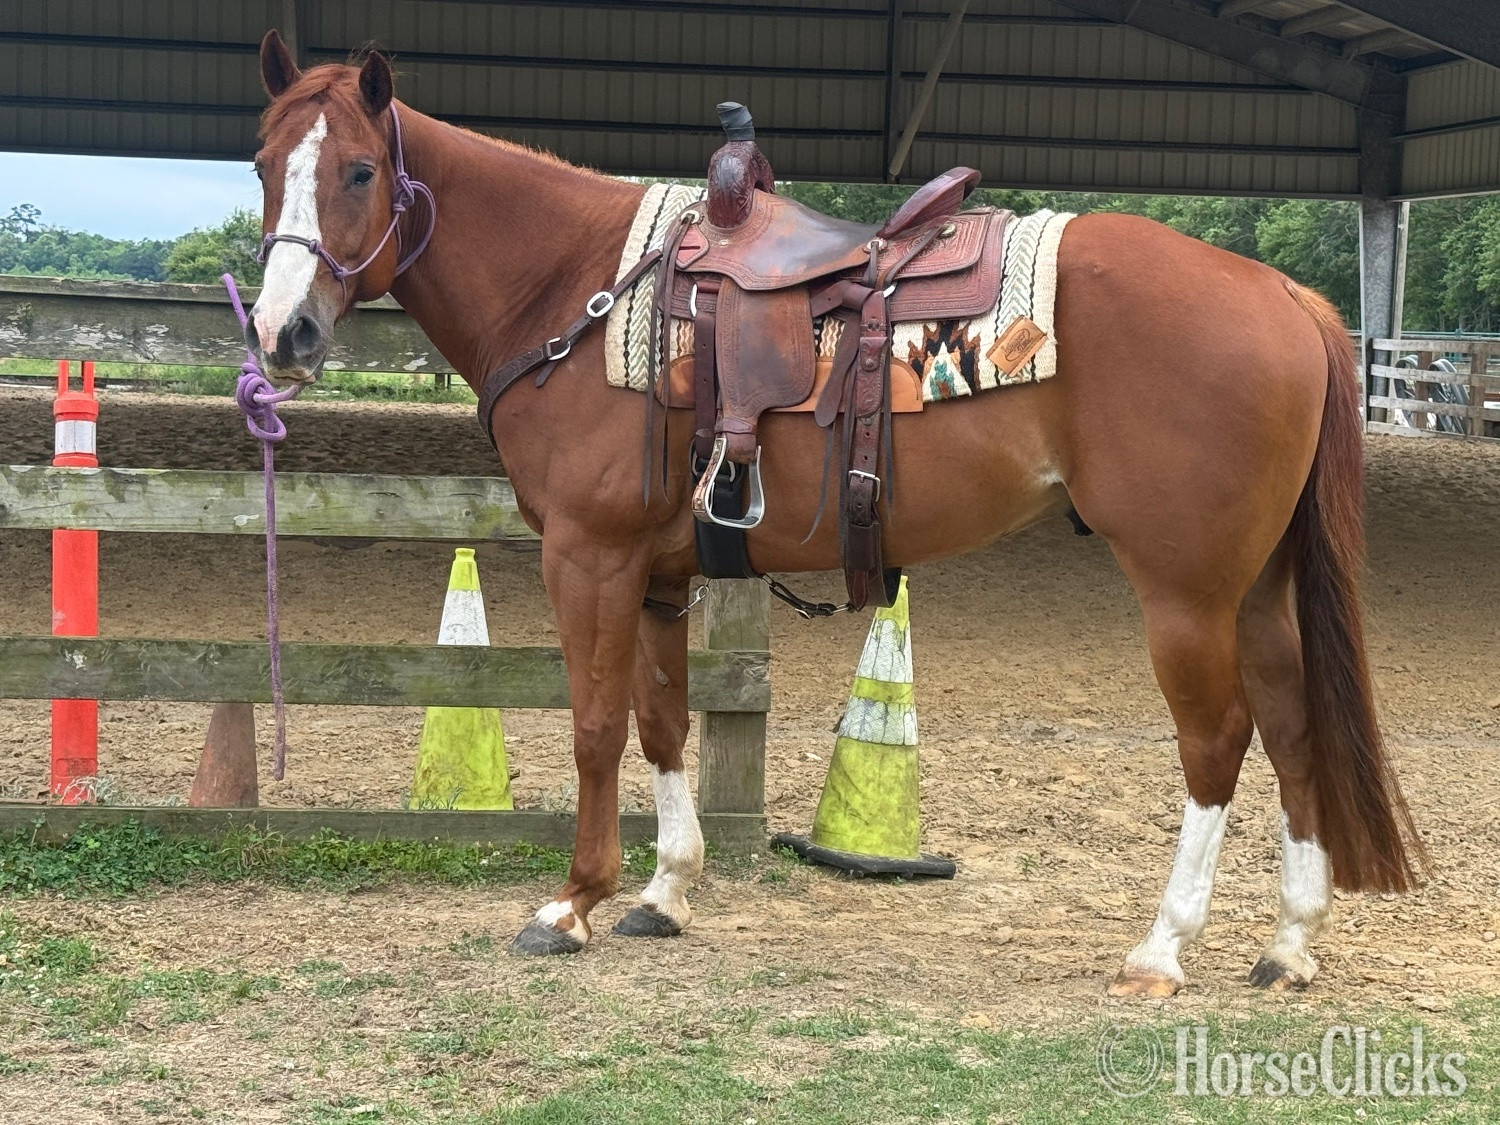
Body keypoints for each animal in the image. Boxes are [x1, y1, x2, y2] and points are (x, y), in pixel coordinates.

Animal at [246, 31, 1423, 994]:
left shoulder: (591, 556)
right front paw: (663, 894)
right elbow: (662, 722)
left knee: (1219, 739)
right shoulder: (661, 575)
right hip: (1257, 587)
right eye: (261, 167)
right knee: (1293, 721)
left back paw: (1163, 947)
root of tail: (1284, 295)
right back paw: (1289, 943)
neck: (577, 288)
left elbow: (593, 724)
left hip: (1187, 590)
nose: (282, 334)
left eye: (359, 171)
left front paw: (572, 903)